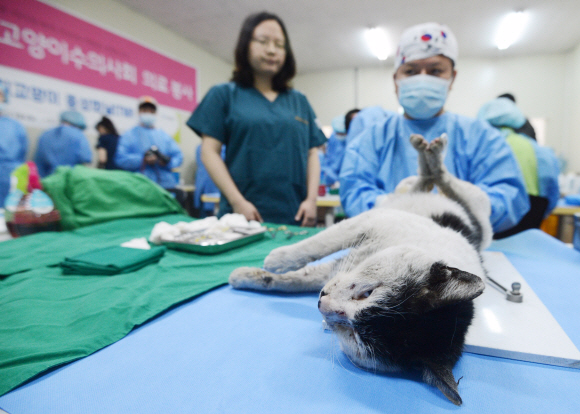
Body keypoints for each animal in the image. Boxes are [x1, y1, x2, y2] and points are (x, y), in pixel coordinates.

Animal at [229, 134, 492, 406]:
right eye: (367, 293)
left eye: (353, 335)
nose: (322, 303)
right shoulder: (370, 222)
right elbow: (316, 245)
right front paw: (276, 259)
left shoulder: (335, 270)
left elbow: (297, 279)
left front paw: (250, 276)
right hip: (448, 202)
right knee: (435, 181)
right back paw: (427, 155)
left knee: (437, 181)